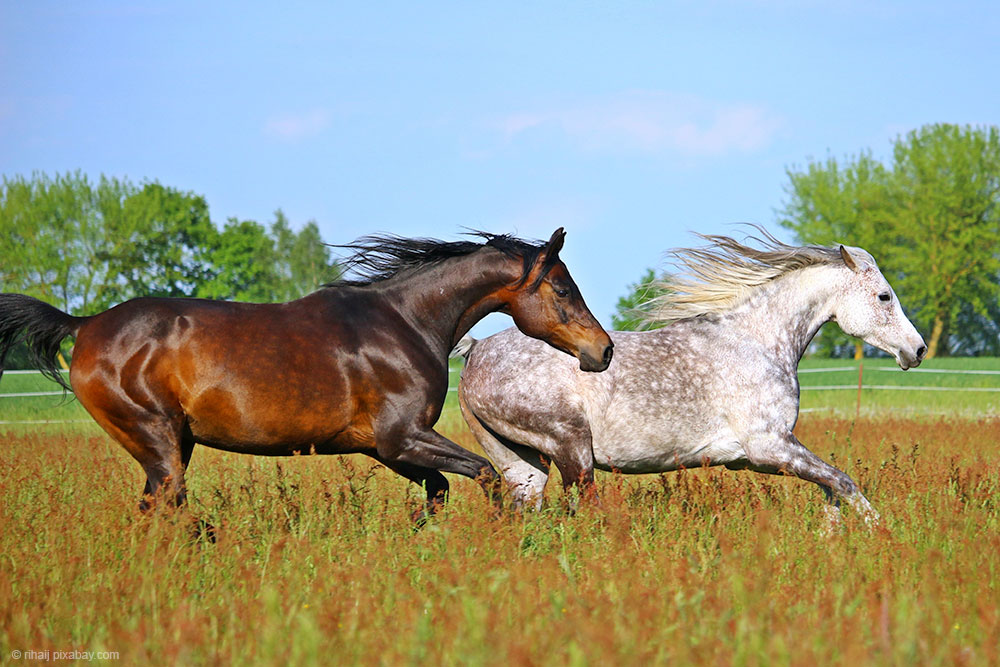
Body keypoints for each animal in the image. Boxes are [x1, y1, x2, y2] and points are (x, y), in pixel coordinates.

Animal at [0, 230, 612, 520]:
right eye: (563, 289)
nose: (602, 351)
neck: (405, 321)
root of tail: (85, 325)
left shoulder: (383, 447)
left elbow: (437, 491)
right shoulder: (403, 437)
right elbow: (485, 475)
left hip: (173, 444)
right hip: (157, 441)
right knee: (167, 508)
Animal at [458, 232, 924, 524]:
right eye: (884, 296)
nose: (916, 350)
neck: (756, 341)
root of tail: (475, 349)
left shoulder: (757, 456)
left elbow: (831, 488)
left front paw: (832, 535)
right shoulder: (770, 447)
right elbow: (843, 482)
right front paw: (881, 535)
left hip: (523, 462)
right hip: (571, 448)